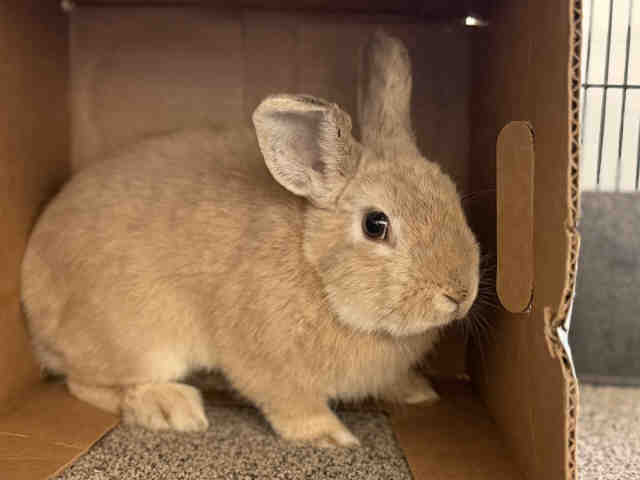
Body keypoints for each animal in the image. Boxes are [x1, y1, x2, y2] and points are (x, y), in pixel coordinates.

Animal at [21, 30, 480, 448]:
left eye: (454, 197)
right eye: (375, 225)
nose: (460, 294)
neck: (316, 271)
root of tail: (31, 293)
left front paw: (418, 390)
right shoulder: (263, 360)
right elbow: (290, 402)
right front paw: (332, 437)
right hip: (137, 341)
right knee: (88, 383)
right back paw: (172, 409)